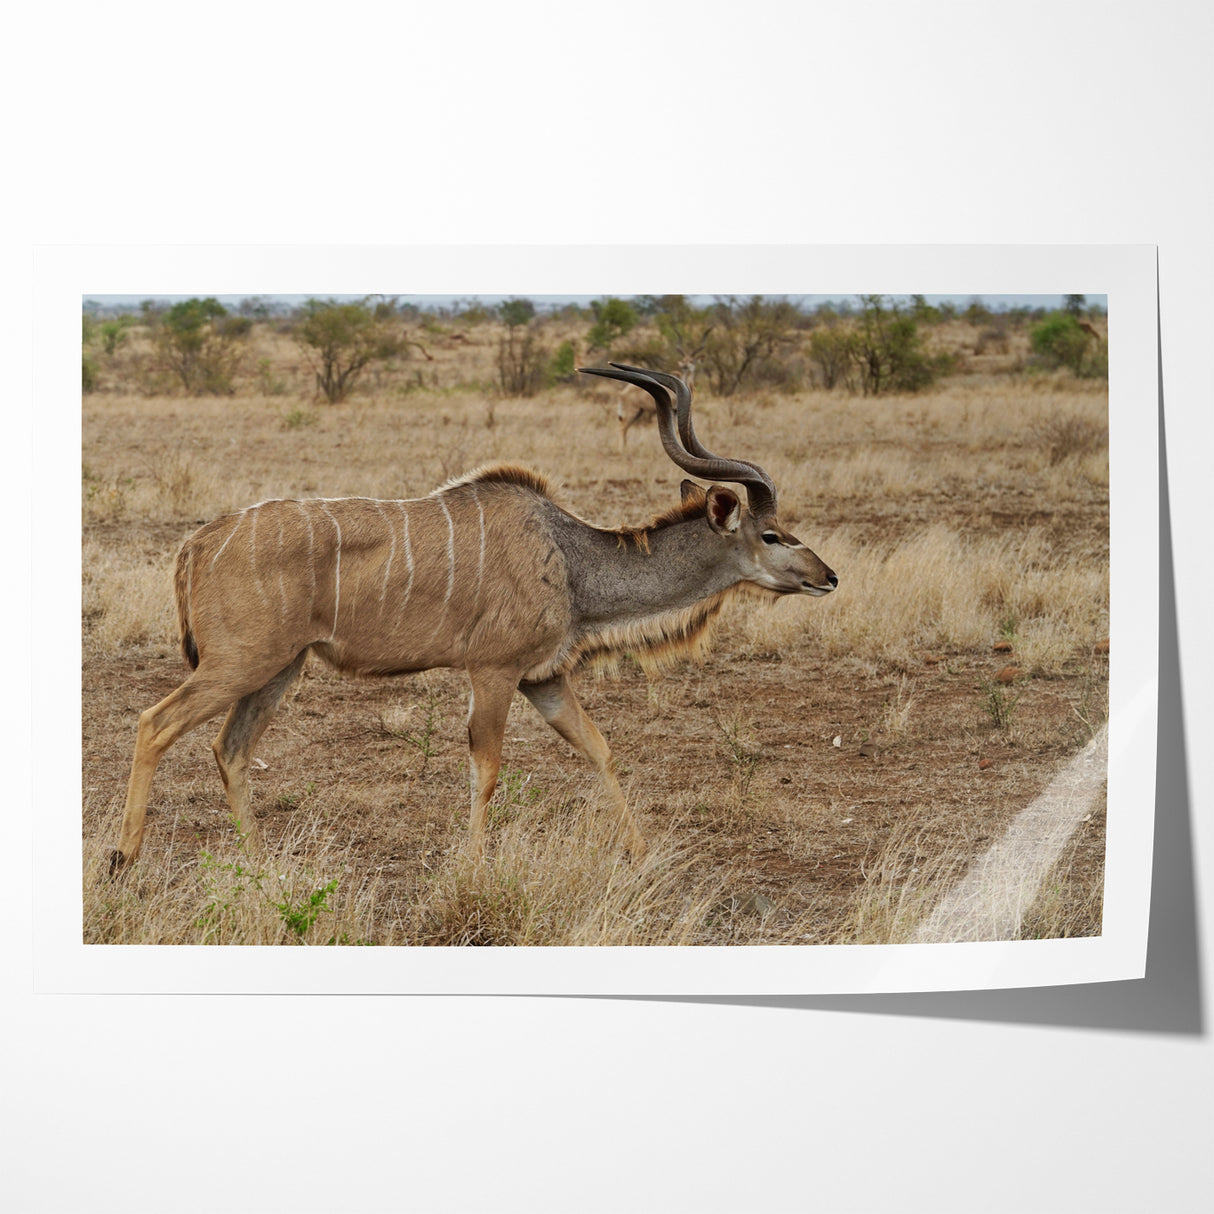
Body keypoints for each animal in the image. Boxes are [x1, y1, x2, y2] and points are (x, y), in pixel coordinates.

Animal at [110, 365, 836, 873]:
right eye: (773, 535)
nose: (827, 577)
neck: (569, 557)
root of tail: (197, 542)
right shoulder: (493, 671)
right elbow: (486, 768)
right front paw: (475, 866)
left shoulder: (542, 678)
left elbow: (599, 748)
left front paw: (642, 852)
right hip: (242, 662)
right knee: (155, 723)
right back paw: (124, 858)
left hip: (280, 668)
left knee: (230, 748)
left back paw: (260, 866)